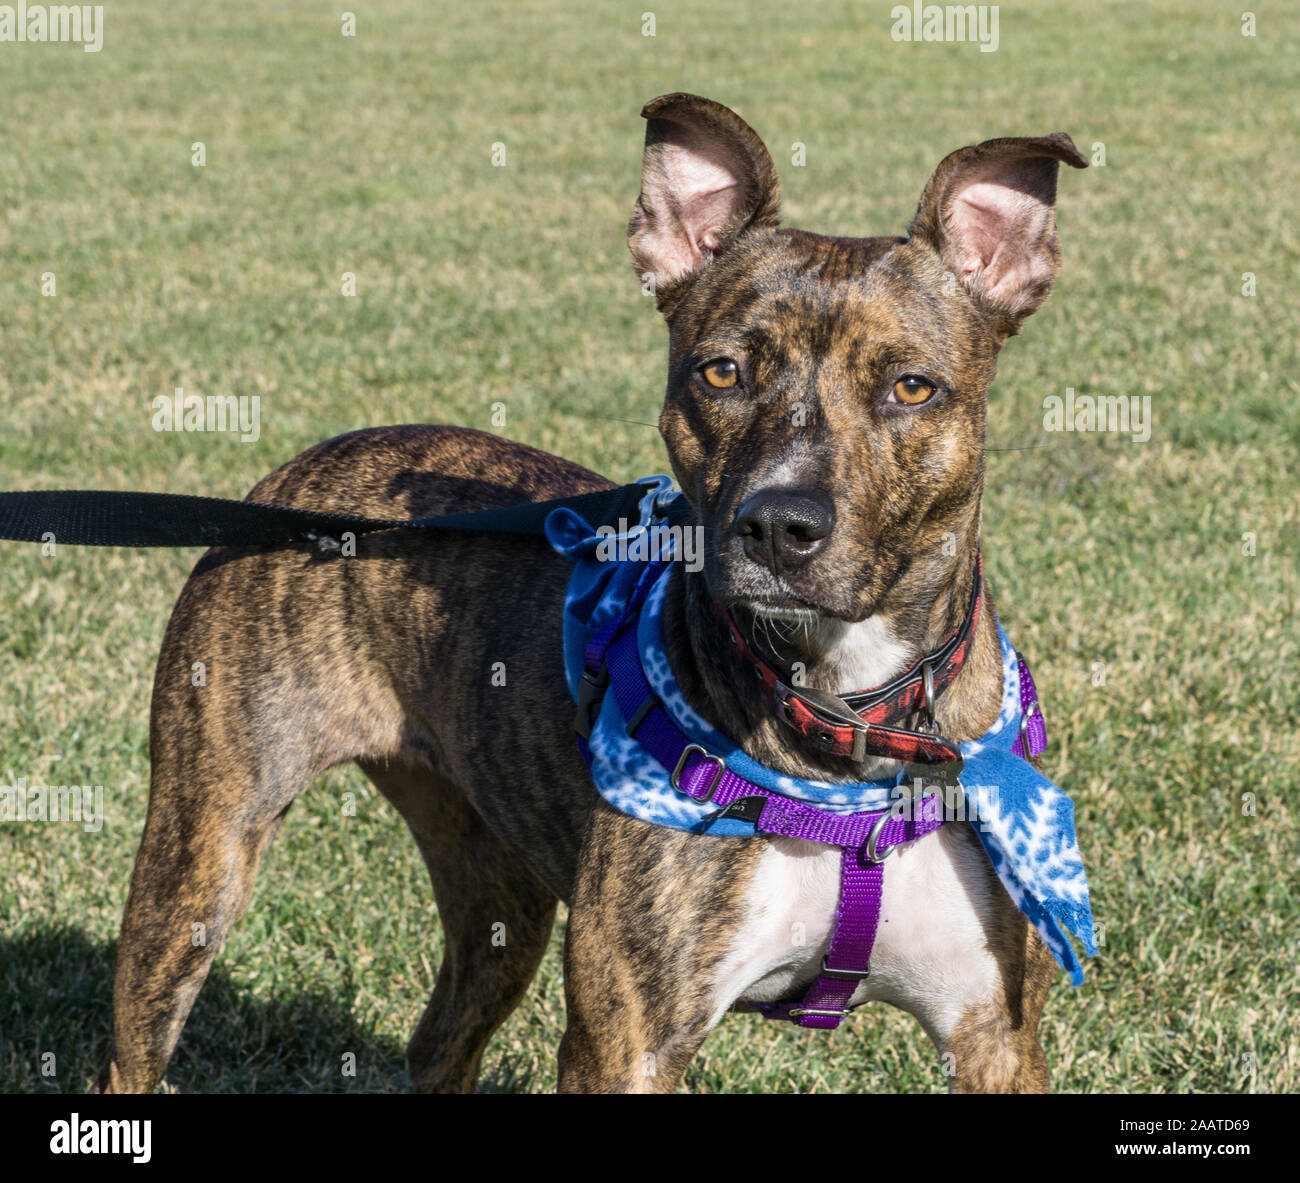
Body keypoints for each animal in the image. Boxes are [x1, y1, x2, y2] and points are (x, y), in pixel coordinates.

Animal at [96, 94, 1086, 1102]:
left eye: (911, 387)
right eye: (720, 372)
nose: (779, 524)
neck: (845, 725)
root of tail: (297, 474)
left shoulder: (997, 1038)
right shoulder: (627, 1044)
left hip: (496, 889)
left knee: (442, 1035)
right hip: (199, 859)